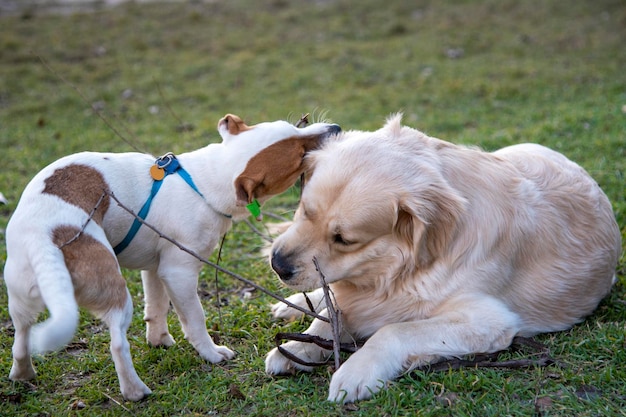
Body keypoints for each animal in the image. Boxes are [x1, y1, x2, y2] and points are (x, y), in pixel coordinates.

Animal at [2, 114, 338, 400]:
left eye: (295, 126)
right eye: (299, 156)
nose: (335, 128)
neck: (202, 183)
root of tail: (45, 238)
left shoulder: (156, 268)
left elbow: (156, 307)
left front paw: (159, 339)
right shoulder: (180, 274)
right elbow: (195, 320)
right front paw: (211, 353)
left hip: (20, 300)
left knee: (21, 338)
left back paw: (22, 374)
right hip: (114, 292)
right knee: (117, 343)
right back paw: (135, 391)